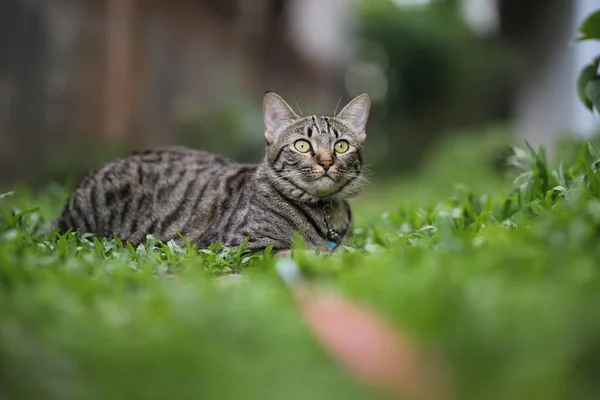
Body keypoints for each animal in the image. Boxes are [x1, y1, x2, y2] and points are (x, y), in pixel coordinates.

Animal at [54, 92, 370, 252]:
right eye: (302, 145)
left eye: (341, 146)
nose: (326, 162)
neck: (324, 212)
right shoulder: (247, 247)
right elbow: (303, 252)